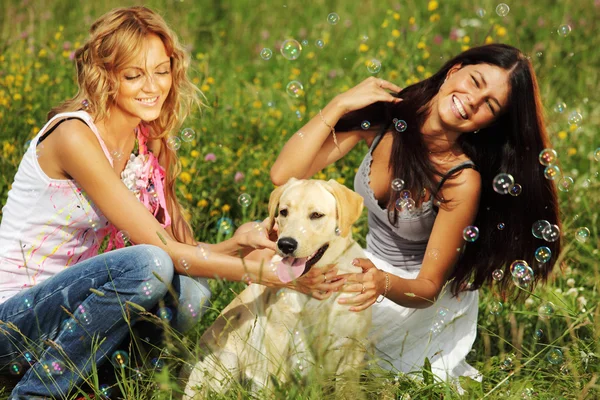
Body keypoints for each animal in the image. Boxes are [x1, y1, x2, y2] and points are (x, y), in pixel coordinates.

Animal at [183, 180, 370, 398]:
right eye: (283, 212)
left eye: (316, 215)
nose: (286, 244)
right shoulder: (278, 337)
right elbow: (276, 381)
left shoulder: (352, 348)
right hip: (227, 361)